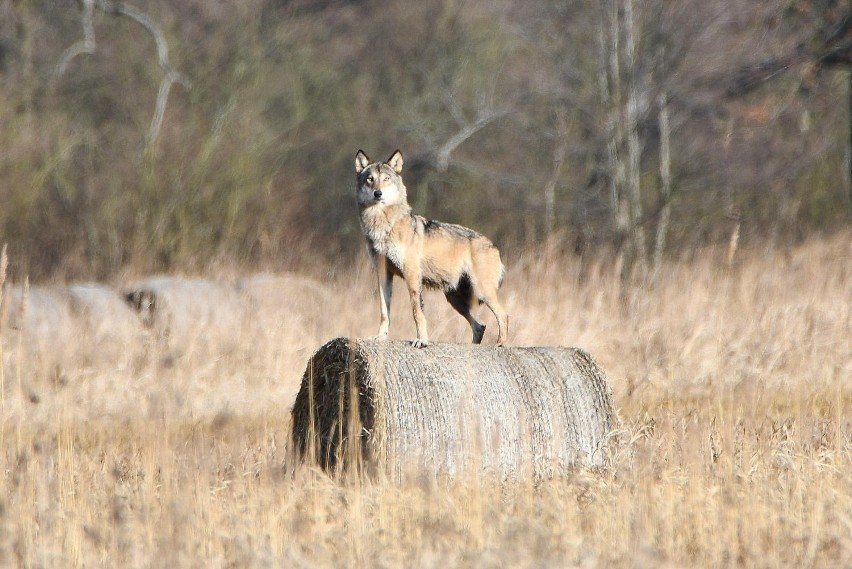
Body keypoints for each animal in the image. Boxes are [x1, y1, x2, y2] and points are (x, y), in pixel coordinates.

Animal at [352, 149, 506, 346]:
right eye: (370, 179)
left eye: (386, 179)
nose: (378, 193)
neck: (383, 225)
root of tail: (494, 246)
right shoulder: (383, 275)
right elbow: (384, 312)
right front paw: (380, 337)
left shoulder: (412, 275)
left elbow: (417, 312)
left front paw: (422, 340)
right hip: (455, 299)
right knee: (480, 326)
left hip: (482, 292)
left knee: (503, 314)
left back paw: (501, 344)